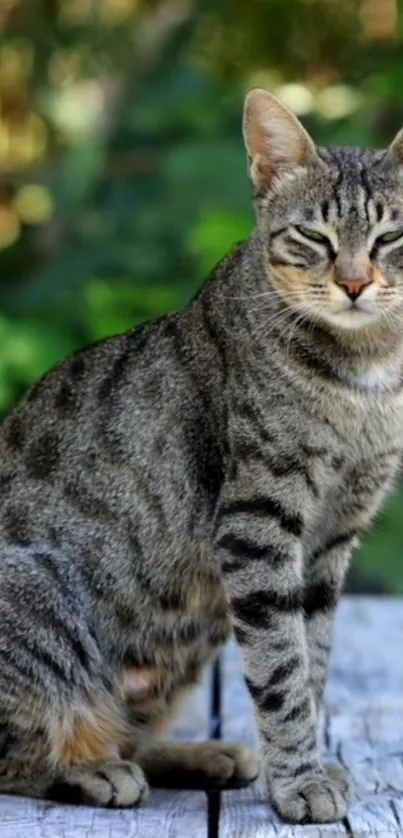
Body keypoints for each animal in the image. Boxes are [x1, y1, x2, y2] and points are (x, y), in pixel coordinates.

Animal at [0, 88, 403, 824]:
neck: (369, 372)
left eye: (390, 238)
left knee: (125, 727)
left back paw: (200, 755)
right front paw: (300, 780)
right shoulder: (257, 524)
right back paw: (93, 771)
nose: (356, 284)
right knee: (27, 748)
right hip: (41, 592)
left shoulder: (332, 538)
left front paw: (303, 766)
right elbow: (281, 667)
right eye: (314, 237)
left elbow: (312, 657)